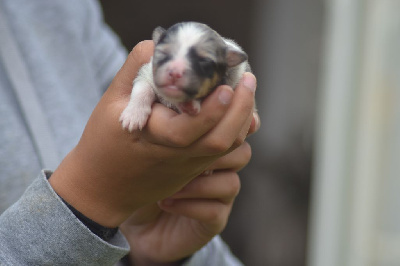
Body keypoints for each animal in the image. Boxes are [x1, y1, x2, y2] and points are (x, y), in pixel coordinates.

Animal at [119, 21, 250, 131]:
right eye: (162, 53)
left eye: (204, 62)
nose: (175, 72)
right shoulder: (147, 73)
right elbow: (143, 88)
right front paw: (133, 115)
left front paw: (190, 105)